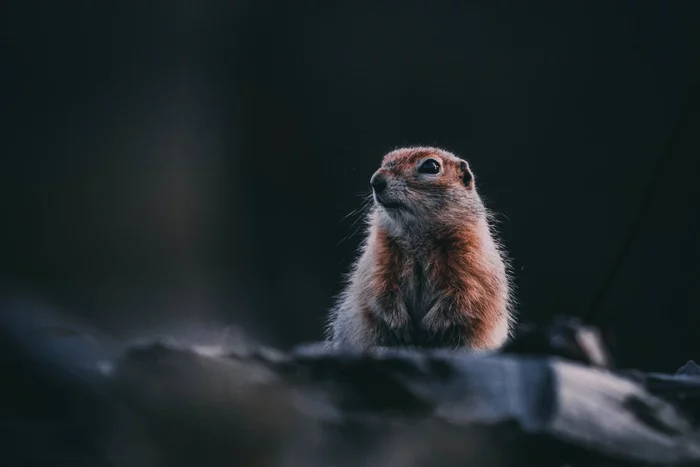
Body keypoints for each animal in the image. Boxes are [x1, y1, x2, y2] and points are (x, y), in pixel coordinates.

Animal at [326, 146, 516, 352]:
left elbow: (466, 294)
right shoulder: (378, 256)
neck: (418, 238)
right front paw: (399, 324)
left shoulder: (473, 259)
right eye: (385, 160)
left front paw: (432, 328)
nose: (375, 181)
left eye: (430, 166)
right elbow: (378, 288)